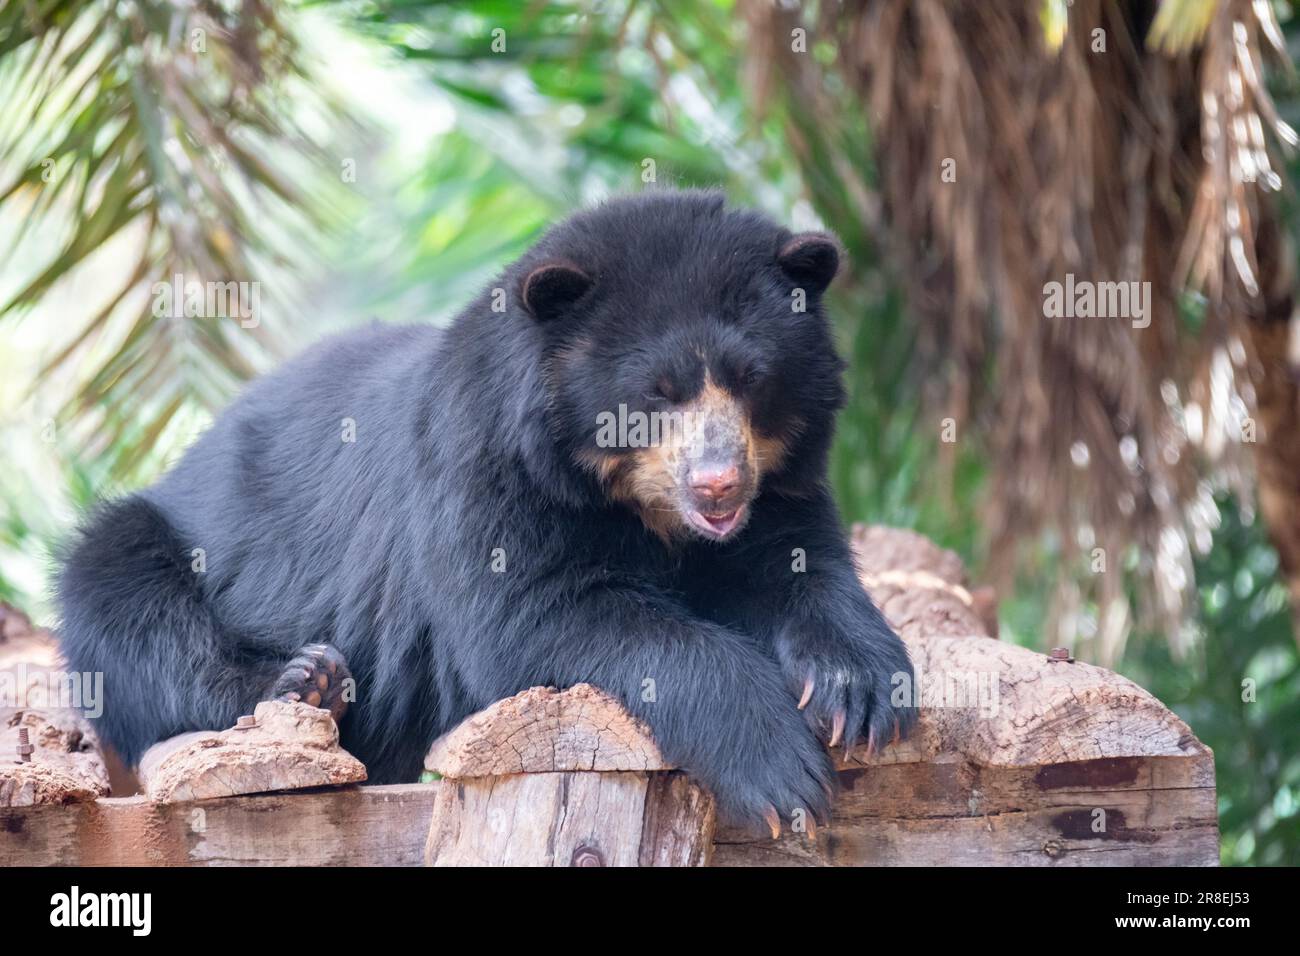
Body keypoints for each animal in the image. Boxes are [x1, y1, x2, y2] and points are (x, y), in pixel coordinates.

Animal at [56, 189, 916, 831]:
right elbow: (539, 616)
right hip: (167, 535)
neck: (637, 508)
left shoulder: (781, 487)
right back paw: (304, 680)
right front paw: (781, 775)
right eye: (657, 394)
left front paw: (862, 692)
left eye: (750, 380)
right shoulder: (484, 471)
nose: (718, 487)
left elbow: (799, 567)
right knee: (128, 607)